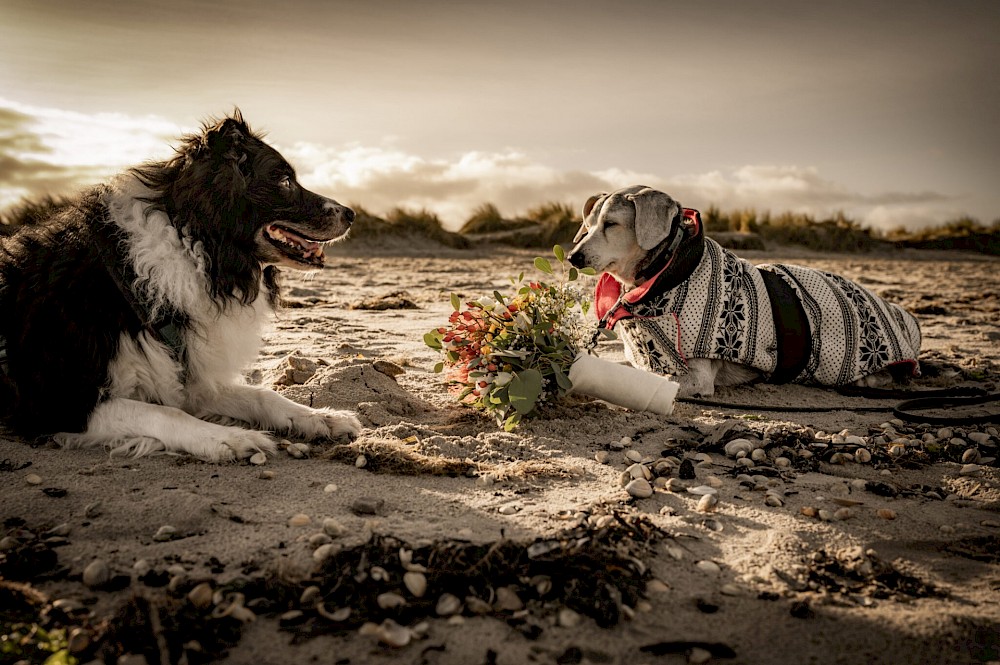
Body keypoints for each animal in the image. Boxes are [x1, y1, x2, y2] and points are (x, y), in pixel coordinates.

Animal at [0, 111, 360, 460]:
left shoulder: (186, 377)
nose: (351, 213)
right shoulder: (57, 400)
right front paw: (229, 438)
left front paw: (320, 417)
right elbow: (166, 413)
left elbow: (261, 394)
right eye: (285, 181)